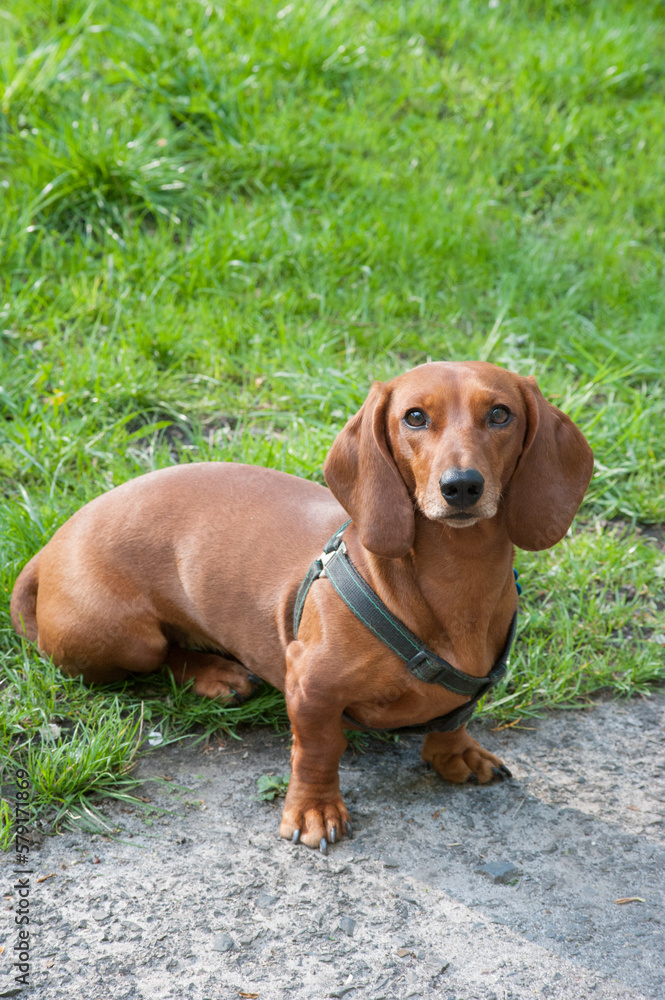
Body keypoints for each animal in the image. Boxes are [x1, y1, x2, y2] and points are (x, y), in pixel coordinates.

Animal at [9, 364, 592, 848]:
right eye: (415, 417)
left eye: (500, 414)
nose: (462, 486)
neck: (454, 586)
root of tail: (51, 544)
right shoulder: (310, 684)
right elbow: (318, 750)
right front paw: (314, 809)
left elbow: (453, 720)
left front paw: (456, 754)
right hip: (129, 638)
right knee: (158, 655)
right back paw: (215, 674)